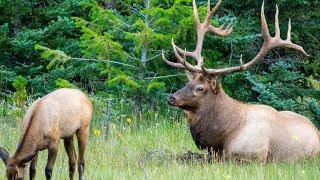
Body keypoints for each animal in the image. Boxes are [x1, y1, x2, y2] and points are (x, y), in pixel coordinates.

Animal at [162, 0, 320, 162]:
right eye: (187, 83)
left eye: (200, 88)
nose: (171, 97)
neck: (223, 136)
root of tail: (316, 130)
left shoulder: (254, 156)